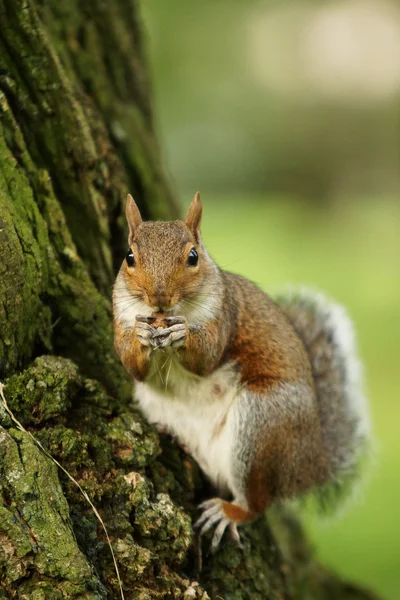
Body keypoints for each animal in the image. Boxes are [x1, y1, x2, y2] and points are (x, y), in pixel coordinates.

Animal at [111, 195, 368, 552]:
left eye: (193, 256)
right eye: (129, 256)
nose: (158, 298)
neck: (165, 315)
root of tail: (309, 463)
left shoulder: (224, 315)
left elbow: (206, 358)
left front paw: (183, 333)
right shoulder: (121, 318)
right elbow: (133, 366)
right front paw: (140, 336)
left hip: (261, 424)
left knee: (257, 503)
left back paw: (230, 512)